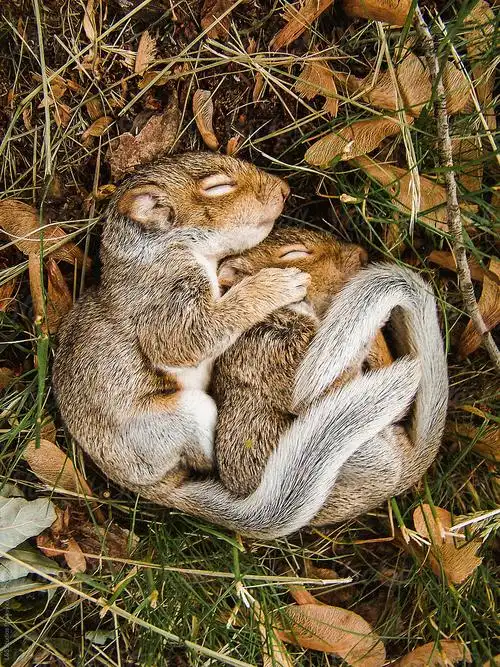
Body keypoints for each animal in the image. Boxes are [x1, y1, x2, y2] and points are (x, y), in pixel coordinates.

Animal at [52, 152, 420, 539]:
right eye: (218, 187)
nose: (284, 189)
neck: (157, 253)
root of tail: (148, 486)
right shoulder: (160, 302)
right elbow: (186, 337)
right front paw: (274, 284)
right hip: (179, 419)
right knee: (205, 458)